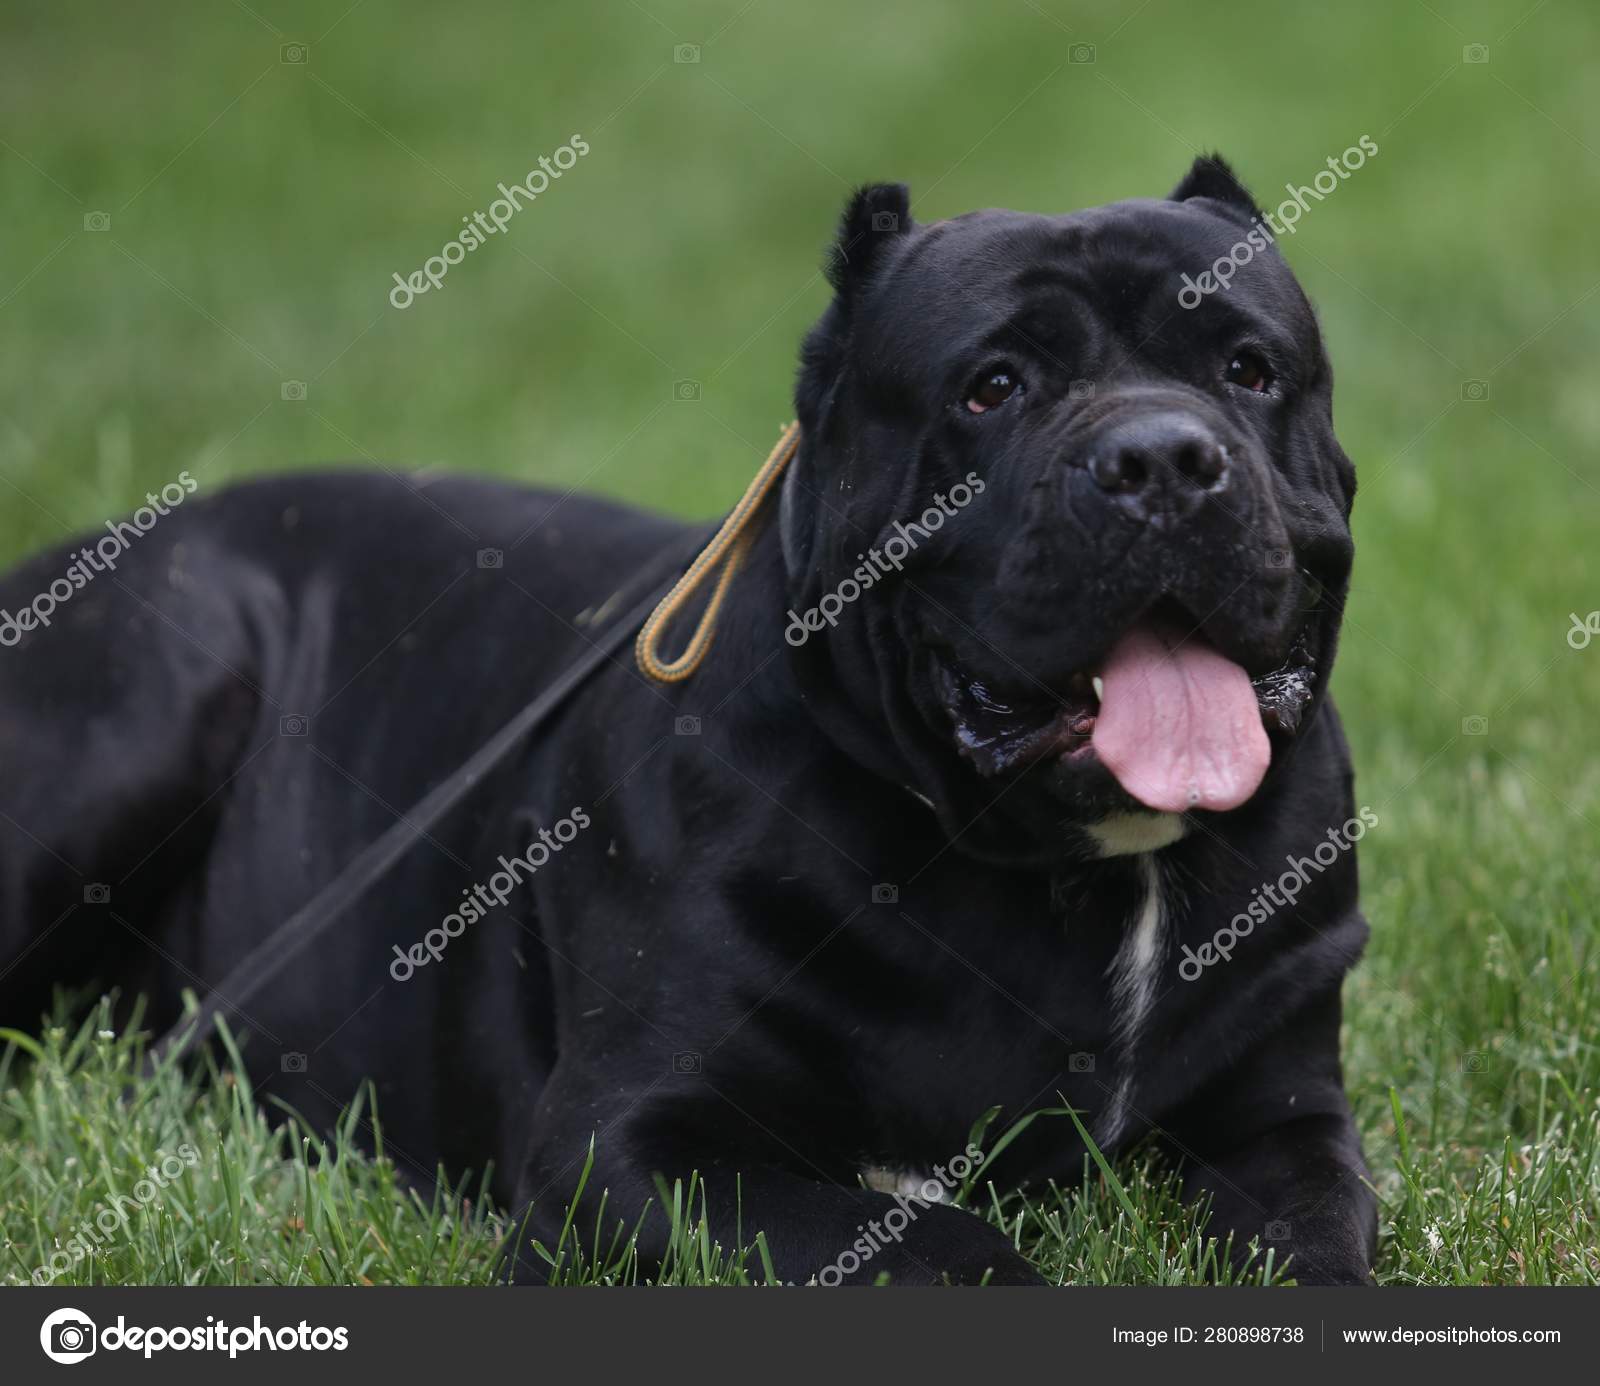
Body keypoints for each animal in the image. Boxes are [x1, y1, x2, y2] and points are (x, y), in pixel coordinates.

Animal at [0, 156, 1376, 1280]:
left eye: (1249, 369)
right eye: (992, 388)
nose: (1162, 459)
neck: (1064, 870)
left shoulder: (1284, 1117)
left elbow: (1316, 1237)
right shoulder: (635, 1148)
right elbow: (936, 1243)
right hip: (156, 687)